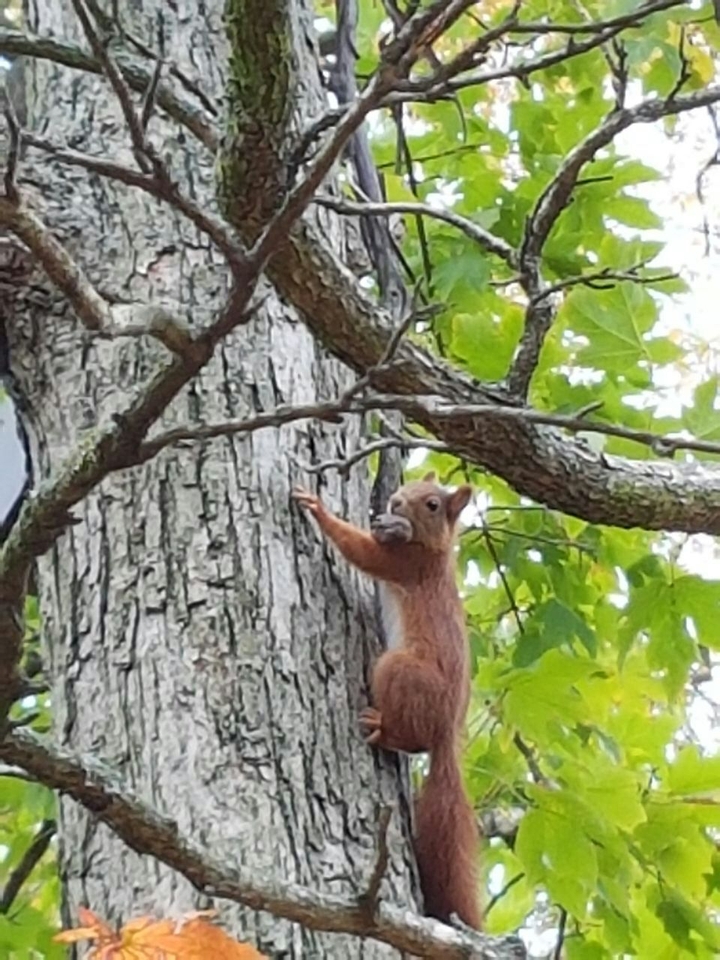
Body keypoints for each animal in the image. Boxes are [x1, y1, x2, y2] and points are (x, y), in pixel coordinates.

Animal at [293, 472, 481, 929]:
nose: (394, 502)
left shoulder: (404, 564)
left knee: (411, 740)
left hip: (398, 669)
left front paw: (318, 509)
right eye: (407, 486)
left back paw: (382, 728)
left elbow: (361, 550)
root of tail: (447, 730)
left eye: (432, 504)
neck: (433, 551)